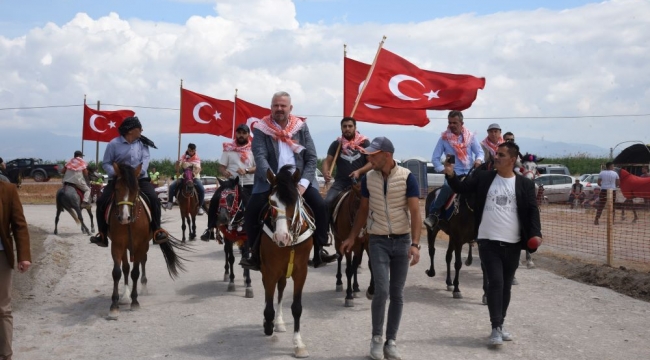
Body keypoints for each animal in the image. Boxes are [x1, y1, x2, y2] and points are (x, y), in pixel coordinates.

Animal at [107, 162, 185, 320]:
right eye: (116, 189)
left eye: (135, 190)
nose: (124, 217)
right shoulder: (117, 245)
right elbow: (117, 272)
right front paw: (114, 306)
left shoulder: (140, 245)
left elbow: (136, 272)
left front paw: (135, 302)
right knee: (126, 267)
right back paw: (125, 295)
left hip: (143, 247)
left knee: (142, 262)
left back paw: (142, 287)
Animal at [260, 165, 316, 358]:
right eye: (272, 201)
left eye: (295, 201)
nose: (281, 237)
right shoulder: (270, 270)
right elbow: (268, 304)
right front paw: (268, 324)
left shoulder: (301, 272)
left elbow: (296, 307)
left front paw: (298, 344)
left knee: (281, 290)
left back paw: (279, 322)